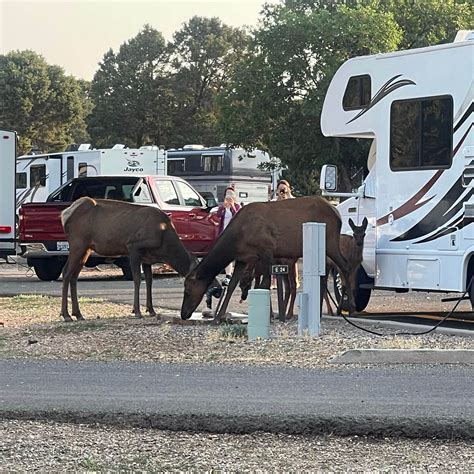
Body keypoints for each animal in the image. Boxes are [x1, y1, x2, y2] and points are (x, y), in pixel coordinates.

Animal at [60, 196, 199, 322]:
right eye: (188, 287)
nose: (186, 314)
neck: (164, 247)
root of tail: (64, 214)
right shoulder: (133, 247)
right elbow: (137, 279)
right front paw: (137, 311)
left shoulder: (147, 259)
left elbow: (149, 280)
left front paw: (151, 310)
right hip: (78, 243)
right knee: (66, 272)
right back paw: (66, 315)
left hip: (86, 249)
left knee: (74, 276)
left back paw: (78, 314)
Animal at [181, 195, 356, 322]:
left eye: (188, 290)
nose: (184, 314)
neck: (237, 238)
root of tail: (338, 214)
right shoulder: (242, 258)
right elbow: (231, 286)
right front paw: (218, 317)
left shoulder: (266, 249)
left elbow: (264, 284)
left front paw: (268, 316)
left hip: (331, 242)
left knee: (345, 267)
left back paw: (351, 307)